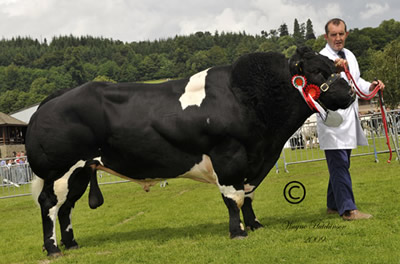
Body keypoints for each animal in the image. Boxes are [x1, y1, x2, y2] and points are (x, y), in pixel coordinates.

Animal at [26, 46, 354, 256]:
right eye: (317, 71)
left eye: (333, 67)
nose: (350, 93)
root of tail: (53, 99)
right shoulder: (229, 156)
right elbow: (233, 198)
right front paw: (238, 231)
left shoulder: (253, 161)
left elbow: (248, 196)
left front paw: (255, 225)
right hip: (59, 171)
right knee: (49, 205)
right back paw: (53, 249)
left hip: (80, 172)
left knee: (66, 208)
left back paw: (72, 244)